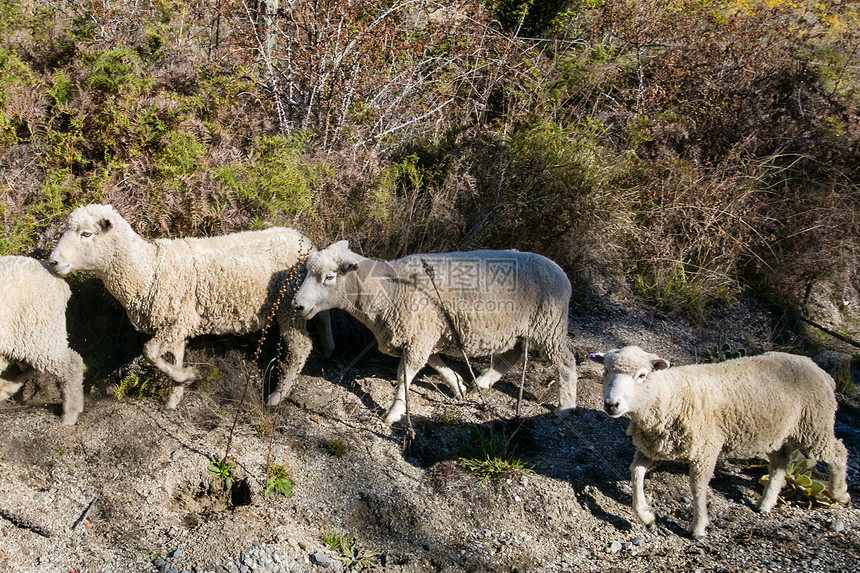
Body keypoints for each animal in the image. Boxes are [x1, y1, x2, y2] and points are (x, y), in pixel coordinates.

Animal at [46, 203, 336, 408]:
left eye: (86, 234)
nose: (53, 262)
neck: (147, 269)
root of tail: (306, 241)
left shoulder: (176, 322)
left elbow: (149, 352)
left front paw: (188, 377)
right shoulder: (176, 323)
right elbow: (172, 356)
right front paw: (176, 394)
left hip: (287, 305)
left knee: (300, 347)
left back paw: (278, 395)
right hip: (306, 296)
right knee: (323, 317)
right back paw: (328, 347)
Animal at [296, 239, 576, 422]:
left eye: (329, 277)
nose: (297, 305)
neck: (389, 291)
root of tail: (561, 272)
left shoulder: (418, 336)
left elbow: (404, 377)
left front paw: (393, 413)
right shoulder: (424, 335)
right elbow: (435, 362)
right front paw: (457, 385)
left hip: (549, 325)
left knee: (566, 362)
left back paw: (566, 406)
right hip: (521, 329)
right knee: (513, 355)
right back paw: (481, 383)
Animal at [588, 346, 848, 540]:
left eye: (642, 375)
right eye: (606, 371)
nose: (611, 404)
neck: (669, 395)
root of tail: (818, 368)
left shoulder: (705, 451)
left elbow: (697, 488)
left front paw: (698, 527)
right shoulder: (653, 447)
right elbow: (636, 473)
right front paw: (645, 515)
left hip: (814, 425)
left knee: (838, 453)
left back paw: (840, 493)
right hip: (776, 433)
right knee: (781, 462)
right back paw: (766, 502)